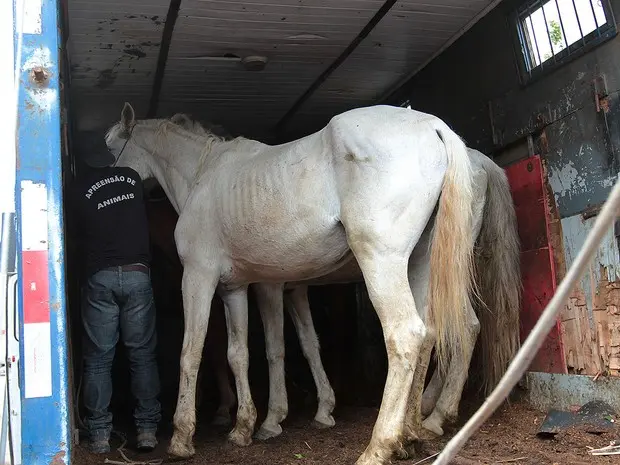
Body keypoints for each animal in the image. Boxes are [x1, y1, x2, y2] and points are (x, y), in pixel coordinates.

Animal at [105, 103, 474, 462]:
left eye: (109, 148)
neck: (202, 176)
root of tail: (432, 126)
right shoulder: (234, 288)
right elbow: (238, 354)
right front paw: (243, 428)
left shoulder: (199, 277)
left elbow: (191, 352)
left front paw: (182, 438)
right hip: (419, 264)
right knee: (428, 333)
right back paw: (409, 435)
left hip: (381, 261)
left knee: (405, 335)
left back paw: (379, 447)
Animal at [167, 112, 520, 438]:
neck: (205, 175)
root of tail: (437, 128)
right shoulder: (262, 288)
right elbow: (289, 346)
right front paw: (314, 411)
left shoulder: (240, 282)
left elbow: (234, 349)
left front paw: (254, 423)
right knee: (444, 330)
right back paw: (422, 420)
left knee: (436, 331)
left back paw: (419, 423)